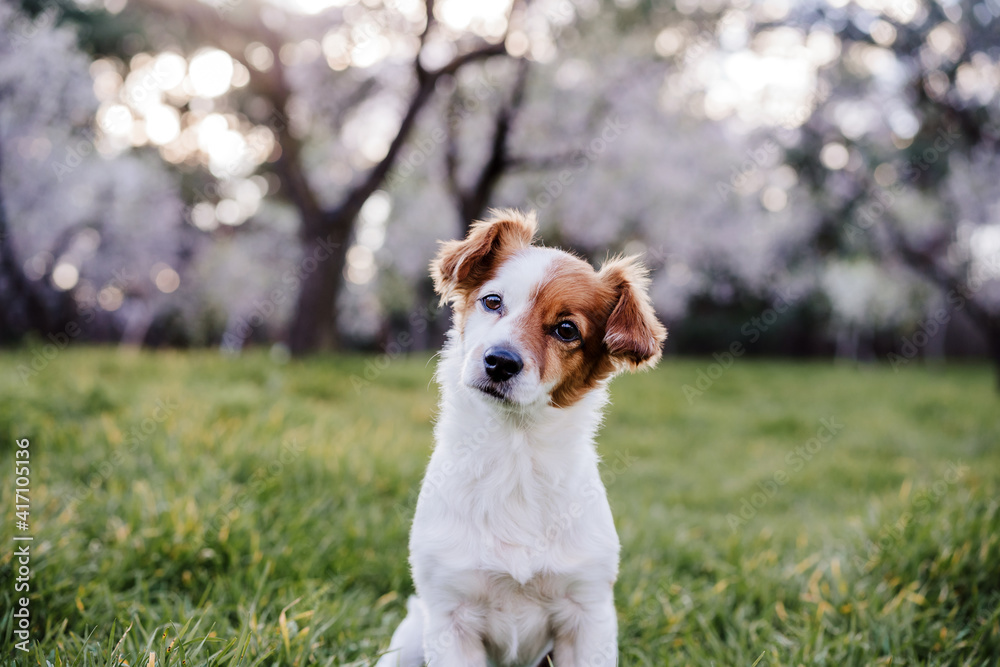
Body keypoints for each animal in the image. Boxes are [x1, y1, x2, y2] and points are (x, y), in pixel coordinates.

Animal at [378, 210, 668, 667]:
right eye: (493, 301)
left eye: (566, 329)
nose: (499, 362)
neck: (514, 454)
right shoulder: (449, 614)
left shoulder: (588, 613)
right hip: (409, 641)